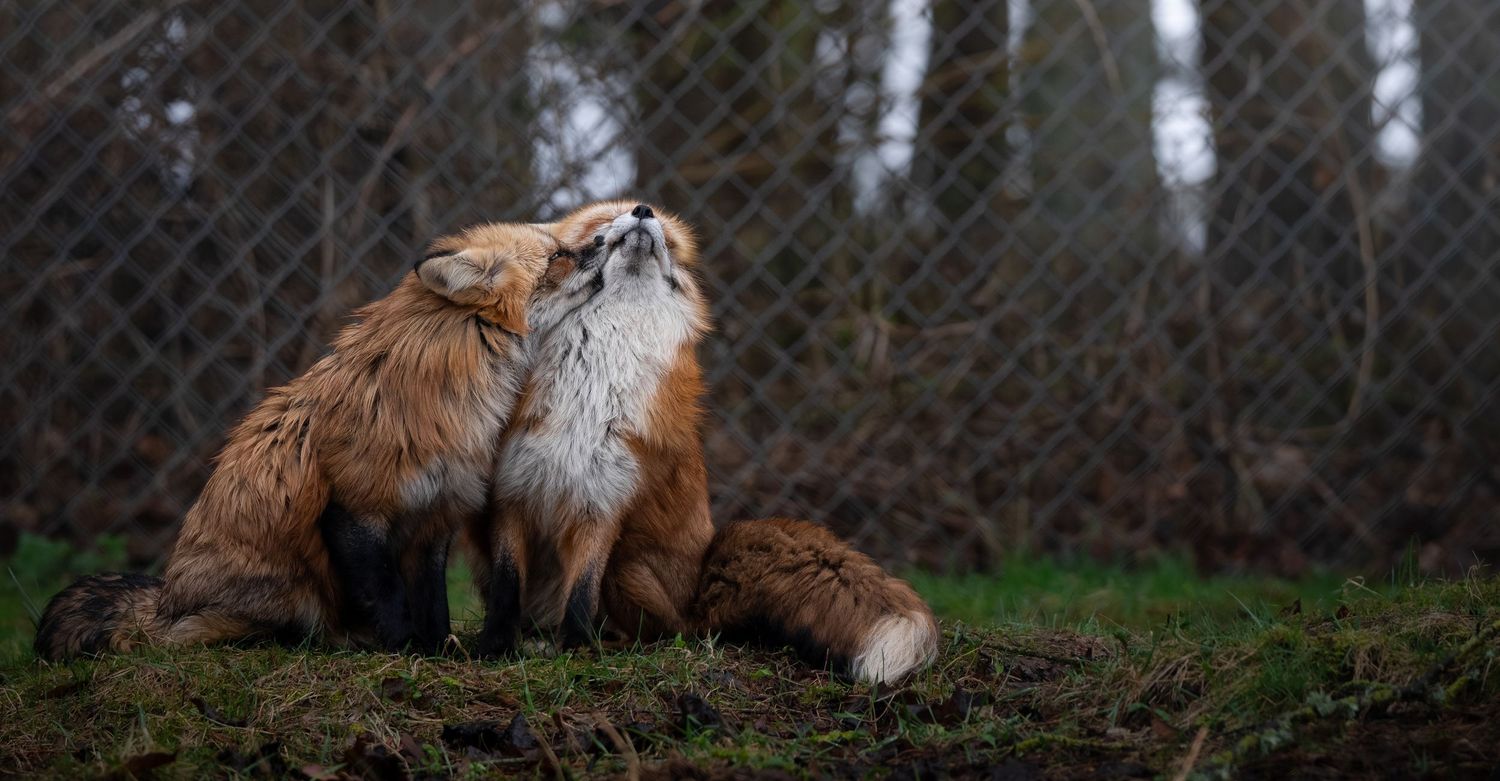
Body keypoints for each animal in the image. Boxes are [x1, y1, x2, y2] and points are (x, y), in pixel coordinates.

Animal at [34, 223, 575, 661]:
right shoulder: (353, 506)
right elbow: (387, 594)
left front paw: (441, 650)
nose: (592, 239)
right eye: (559, 255)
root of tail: (166, 598)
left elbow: (433, 603)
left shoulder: (436, 513)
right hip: (291, 594)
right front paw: (402, 648)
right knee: (216, 632)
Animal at [467, 200, 939, 683]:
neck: (594, 382)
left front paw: (575, 652)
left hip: (627, 565)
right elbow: (506, 587)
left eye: (669, 239)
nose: (643, 210)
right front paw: (494, 647)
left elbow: (581, 595)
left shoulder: (604, 502)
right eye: (602, 224)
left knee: (661, 633)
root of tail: (699, 589)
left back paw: (598, 644)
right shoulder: (511, 493)